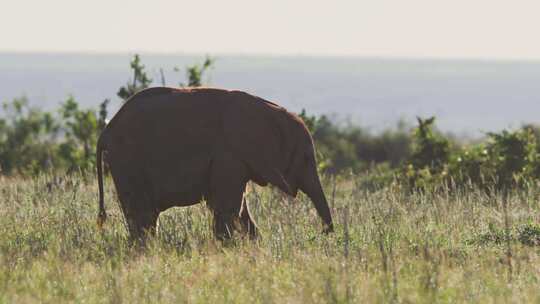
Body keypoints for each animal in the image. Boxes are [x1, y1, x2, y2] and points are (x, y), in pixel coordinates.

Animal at [97, 86, 334, 241]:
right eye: (306, 158)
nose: (324, 234)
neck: (270, 112)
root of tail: (107, 130)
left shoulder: (235, 160)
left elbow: (239, 209)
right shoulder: (229, 155)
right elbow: (227, 207)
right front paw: (225, 247)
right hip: (128, 161)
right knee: (141, 214)